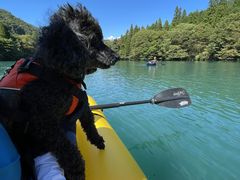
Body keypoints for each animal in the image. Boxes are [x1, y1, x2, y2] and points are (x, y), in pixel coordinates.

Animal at [0, 3, 119, 180]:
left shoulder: (82, 102)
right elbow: (66, 148)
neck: (58, 74)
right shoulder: (44, 122)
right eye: (94, 40)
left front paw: (97, 140)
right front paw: (77, 169)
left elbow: (89, 122)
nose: (117, 56)